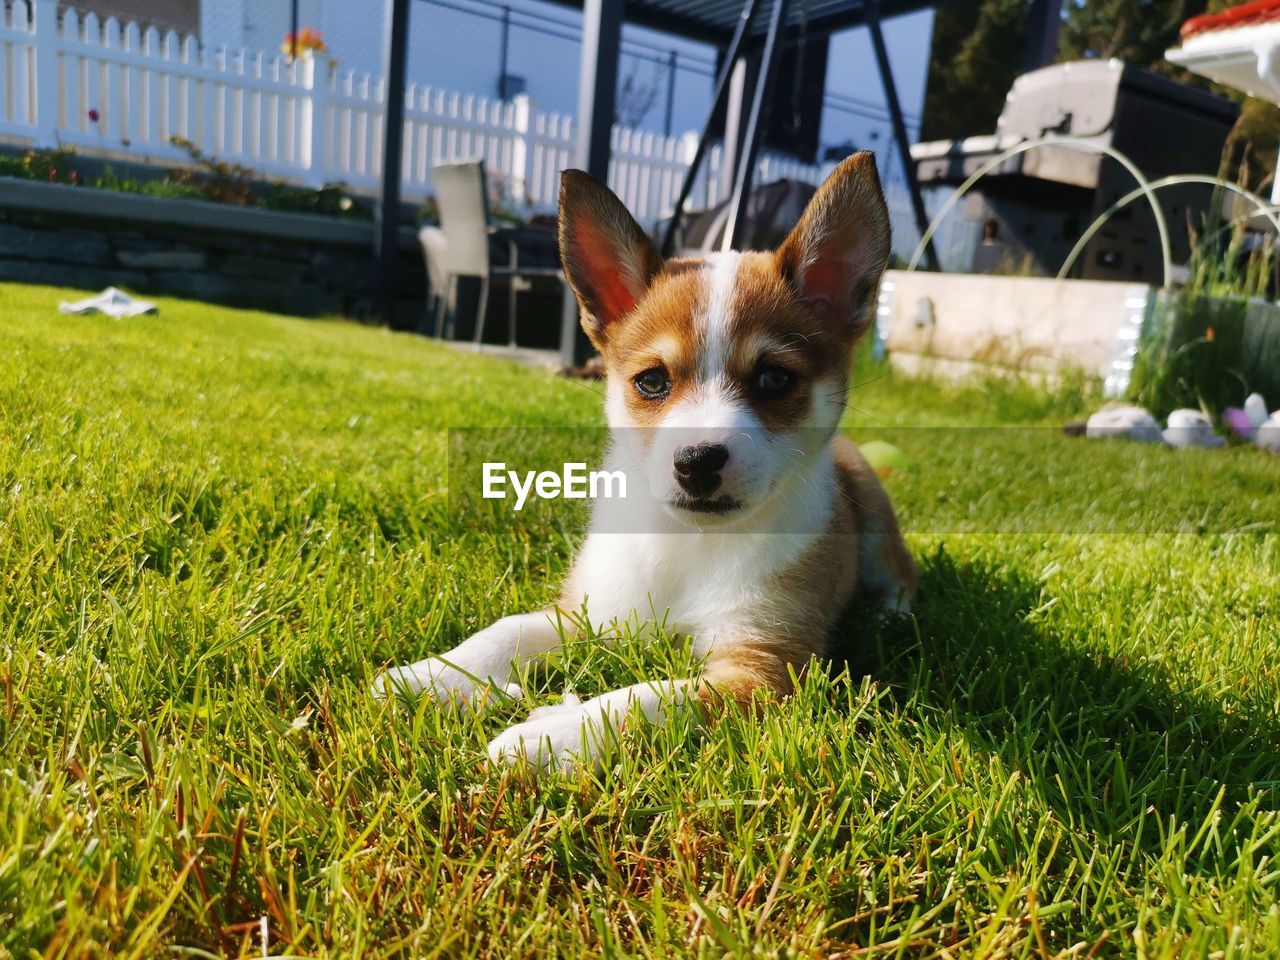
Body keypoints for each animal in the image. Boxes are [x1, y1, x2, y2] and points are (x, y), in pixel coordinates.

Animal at [373, 154, 916, 778]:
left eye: (775, 379)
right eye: (652, 381)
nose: (698, 462)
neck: (686, 543)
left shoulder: (765, 668)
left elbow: (648, 697)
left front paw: (554, 734)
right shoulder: (586, 612)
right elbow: (506, 630)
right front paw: (433, 675)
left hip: (874, 516)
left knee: (902, 576)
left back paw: (889, 616)